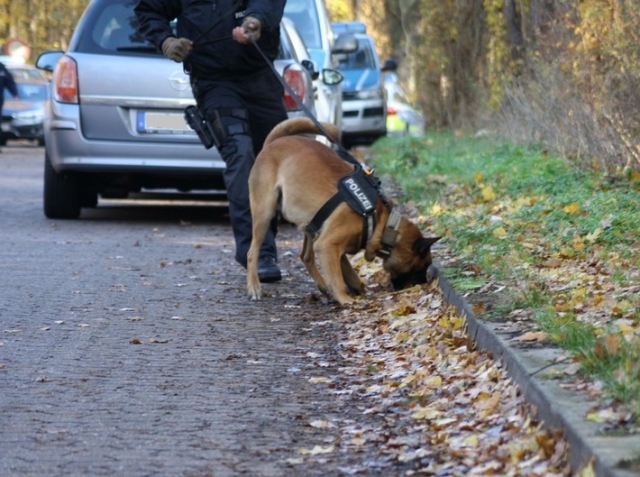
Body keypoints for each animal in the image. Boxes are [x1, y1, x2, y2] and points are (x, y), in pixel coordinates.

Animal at [246, 116, 440, 304]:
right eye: (423, 265)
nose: (425, 283)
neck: (382, 221)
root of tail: (271, 144)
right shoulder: (327, 245)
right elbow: (337, 277)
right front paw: (345, 298)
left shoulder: (331, 244)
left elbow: (345, 268)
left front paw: (355, 287)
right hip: (264, 214)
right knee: (252, 253)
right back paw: (254, 287)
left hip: (309, 224)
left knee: (306, 256)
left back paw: (323, 287)